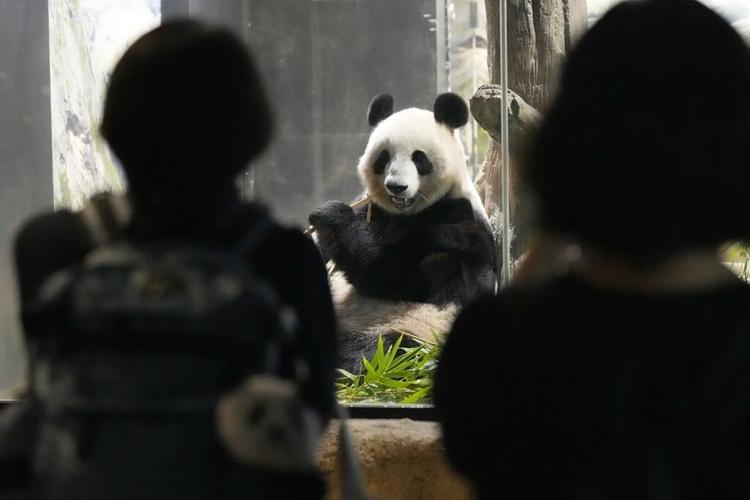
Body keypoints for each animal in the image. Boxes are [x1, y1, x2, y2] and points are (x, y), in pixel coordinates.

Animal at [309, 93, 498, 372]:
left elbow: (396, 276)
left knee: (377, 352)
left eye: (419, 158)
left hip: (416, 332)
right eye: (383, 158)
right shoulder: (376, 210)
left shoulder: (457, 223)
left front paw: (332, 217)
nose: (396, 187)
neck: (408, 212)